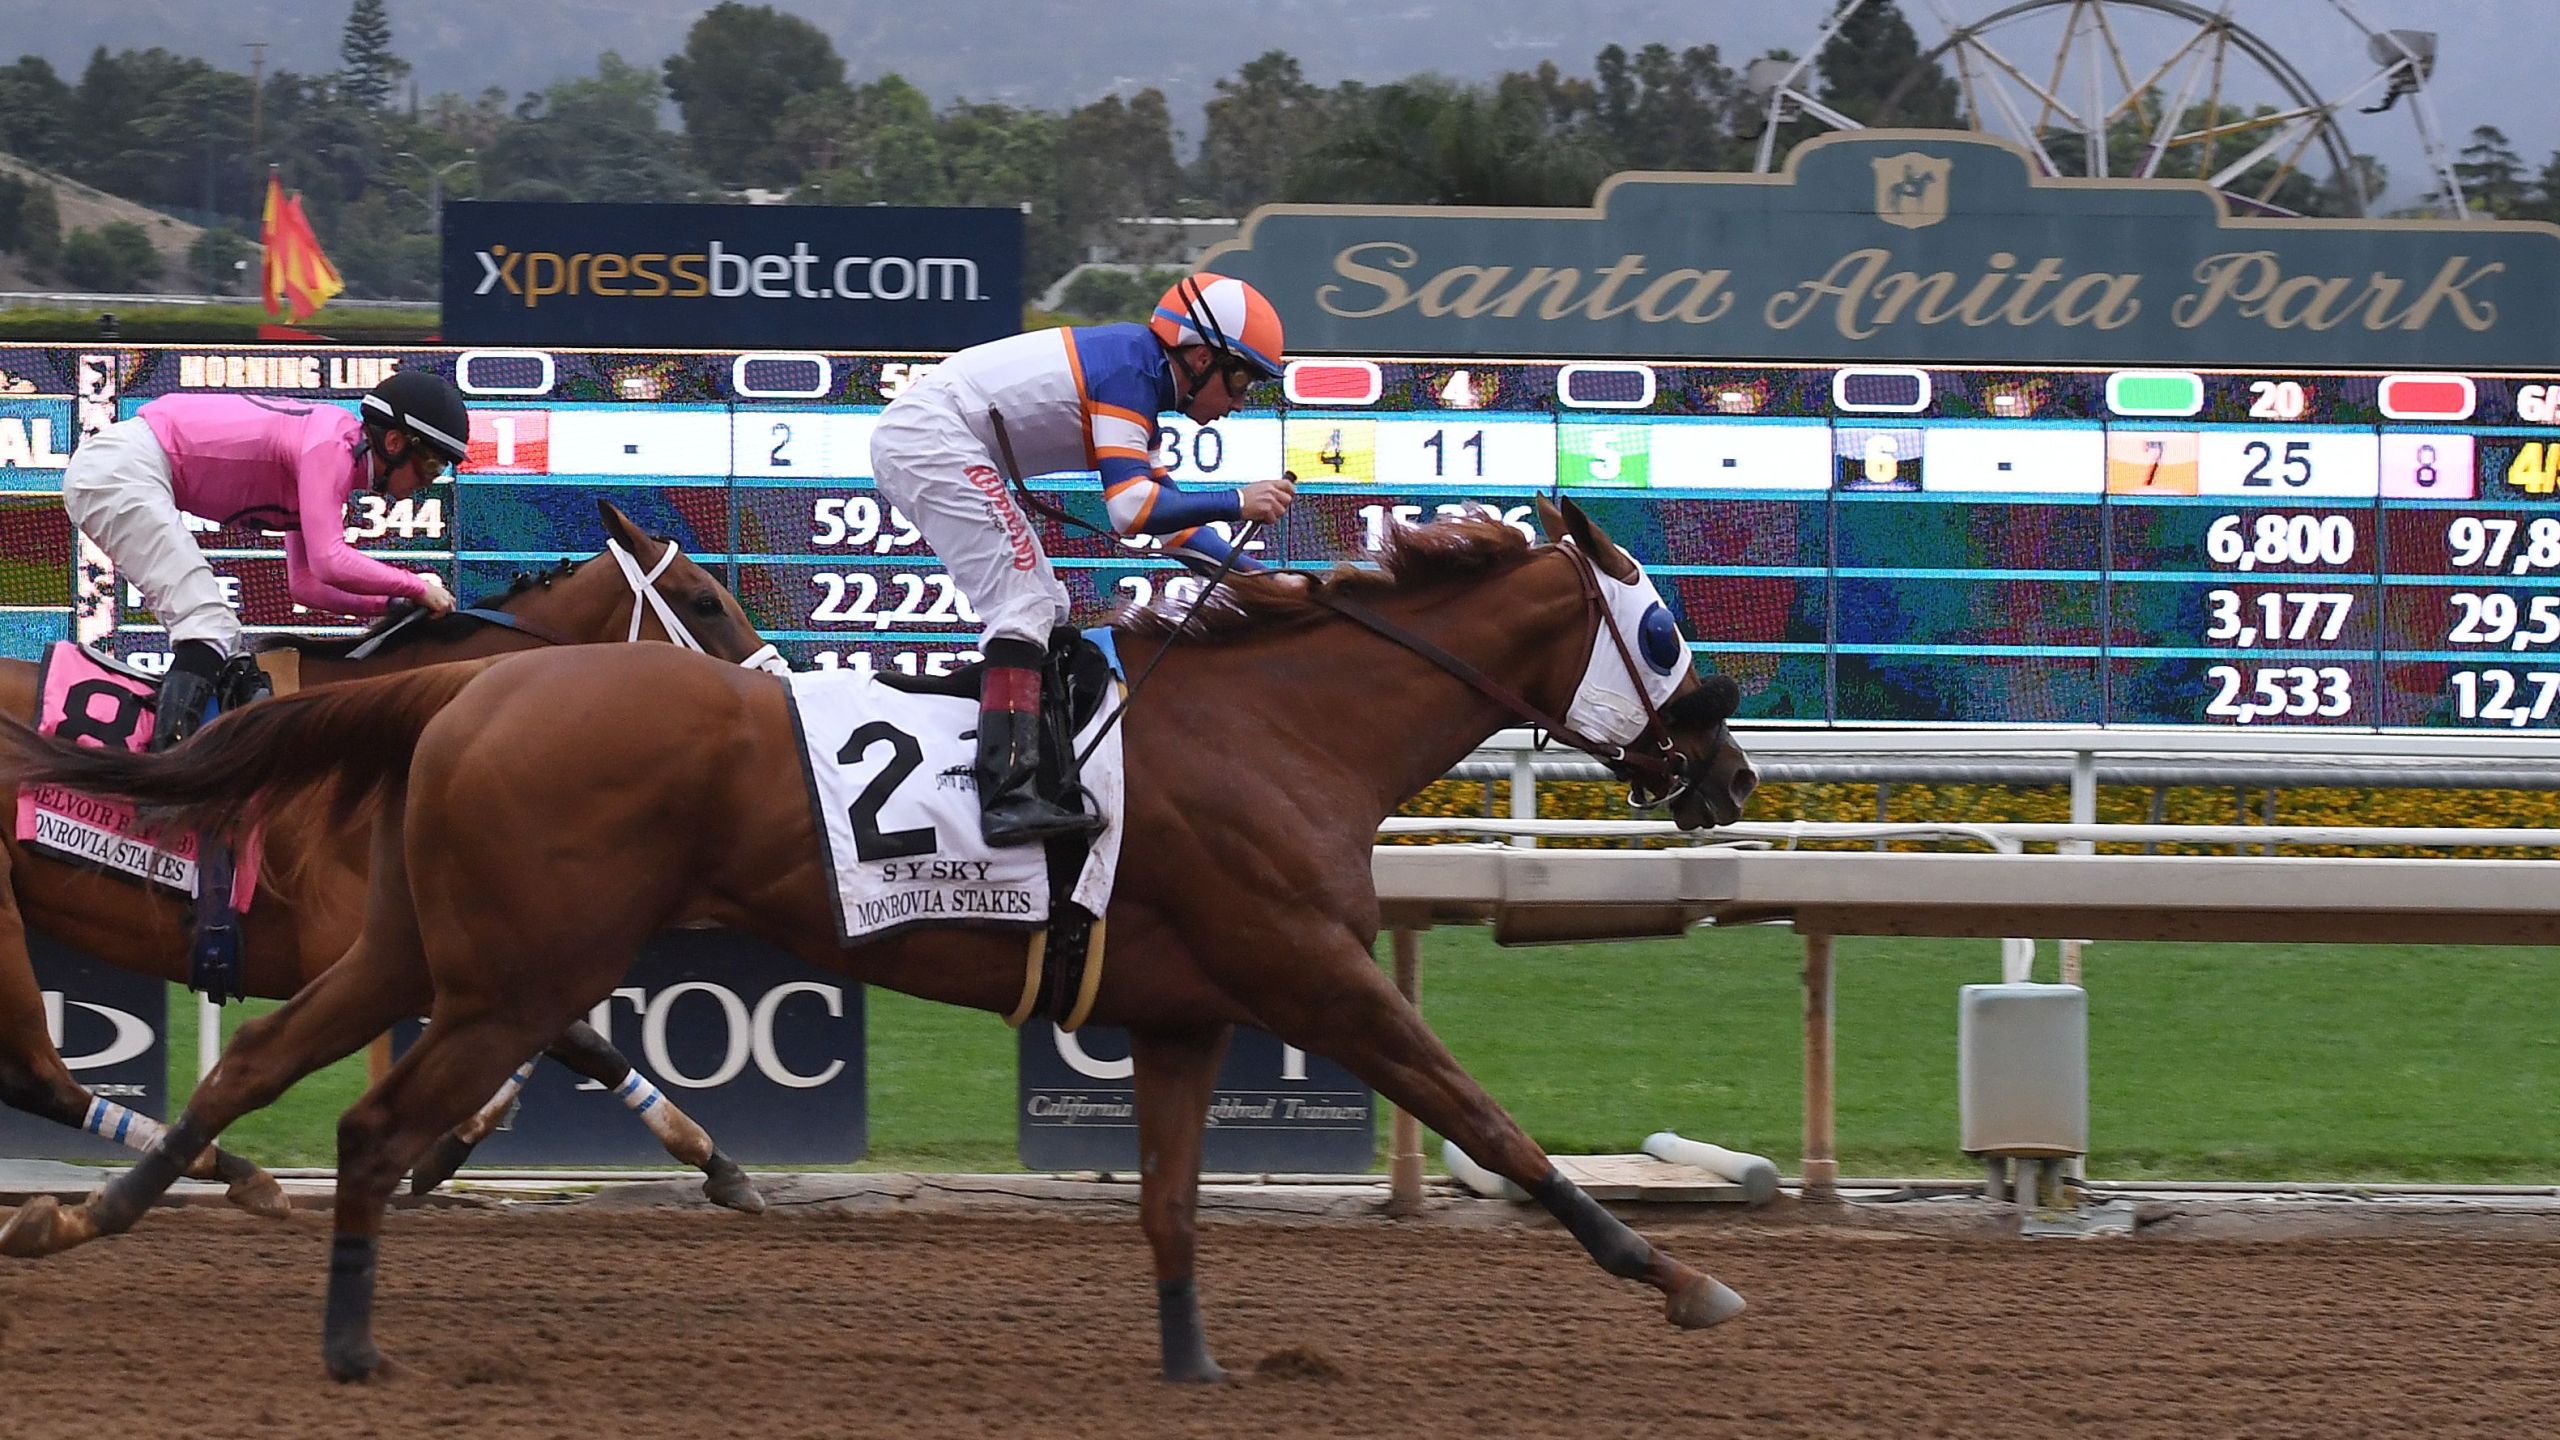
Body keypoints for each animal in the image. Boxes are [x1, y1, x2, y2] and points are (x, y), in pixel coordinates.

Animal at [0, 499, 773, 1214]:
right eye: (706, 601)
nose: (770, 690)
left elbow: (572, 1038)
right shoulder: (373, 950)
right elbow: (576, 1037)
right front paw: (713, 1159)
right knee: (38, 1077)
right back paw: (237, 1173)